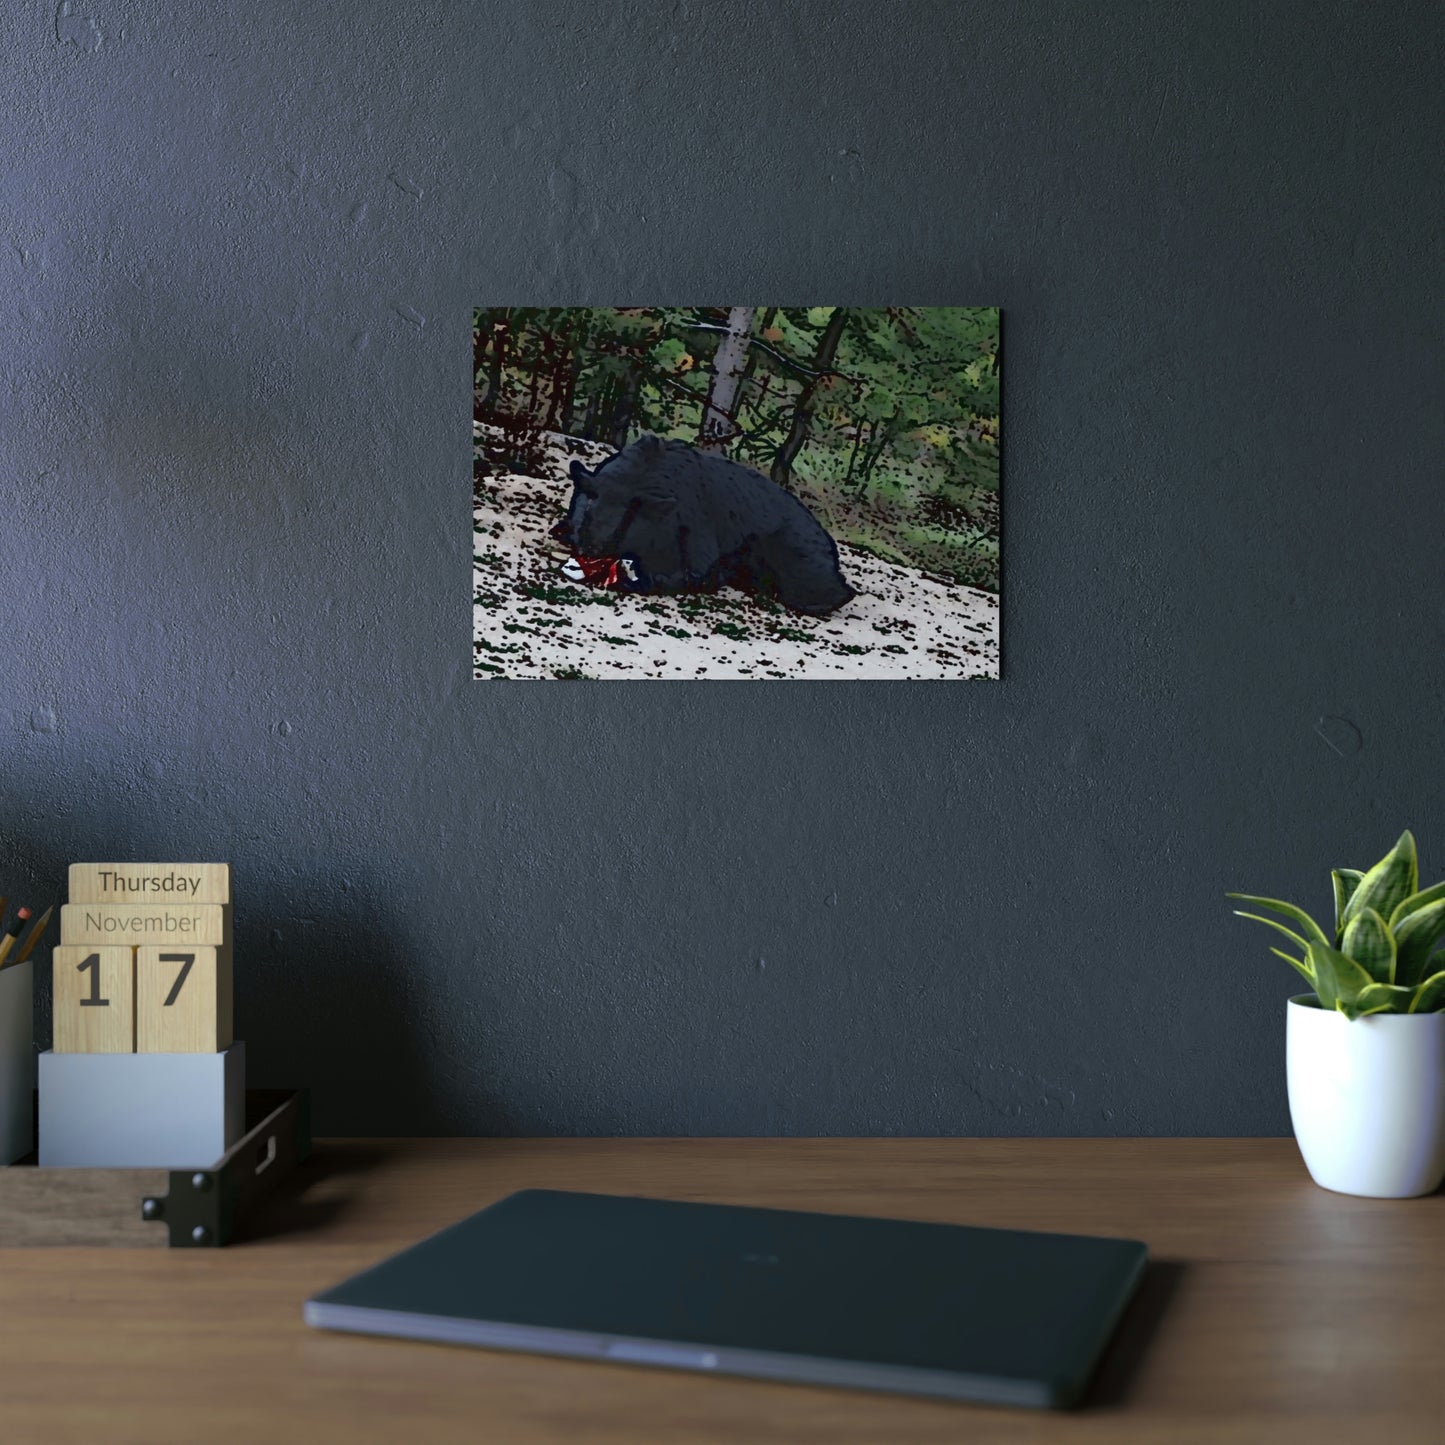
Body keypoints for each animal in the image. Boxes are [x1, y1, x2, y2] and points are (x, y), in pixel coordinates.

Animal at [551, 434, 856, 617]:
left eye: (622, 526)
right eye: (587, 515)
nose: (588, 551)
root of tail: (828, 541)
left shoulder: (693, 545)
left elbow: (679, 575)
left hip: (796, 559)